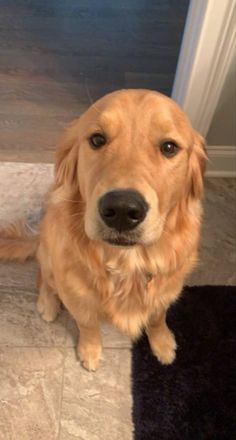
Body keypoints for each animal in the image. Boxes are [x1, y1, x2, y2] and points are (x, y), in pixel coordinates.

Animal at [0, 89, 206, 372]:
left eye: (169, 147)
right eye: (97, 140)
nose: (121, 210)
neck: (127, 264)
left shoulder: (167, 289)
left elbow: (157, 317)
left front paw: (162, 342)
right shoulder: (76, 294)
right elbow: (87, 324)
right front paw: (90, 350)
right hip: (50, 252)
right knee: (44, 277)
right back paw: (47, 304)